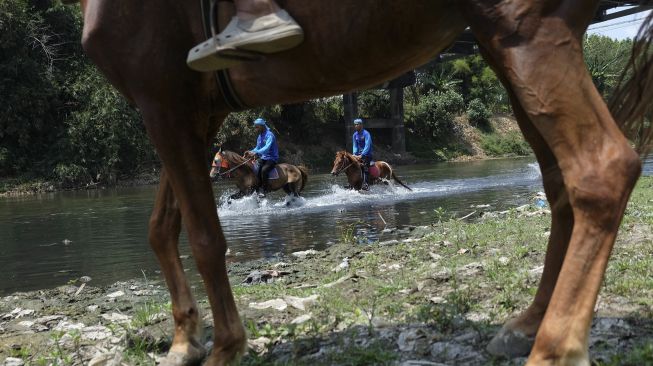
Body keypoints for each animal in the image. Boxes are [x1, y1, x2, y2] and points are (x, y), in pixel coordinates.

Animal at [72, 0, 652, 364]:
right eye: (216, 163)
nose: (221, 172)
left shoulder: (164, 99)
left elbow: (205, 236)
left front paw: (218, 345)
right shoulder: (187, 111)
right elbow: (161, 228)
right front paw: (184, 339)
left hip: (525, 35)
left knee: (599, 168)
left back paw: (556, 346)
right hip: (509, 52)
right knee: (559, 184)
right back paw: (528, 325)